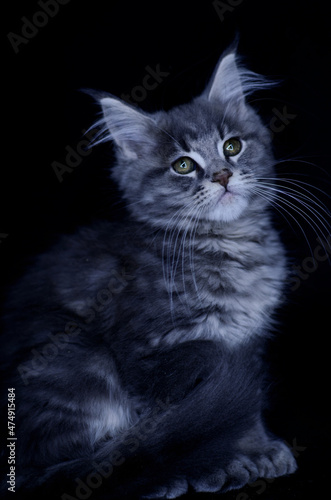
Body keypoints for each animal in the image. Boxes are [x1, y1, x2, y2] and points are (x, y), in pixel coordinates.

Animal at [0, 47, 300, 500]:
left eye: (232, 146)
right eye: (183, 165)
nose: (223, 175)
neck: (228, 245)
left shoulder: (246, 345)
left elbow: (244, 410)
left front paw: (260, 447)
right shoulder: (152, 355)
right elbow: (172, 423)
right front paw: (225, 463)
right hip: (79, 356)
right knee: (68, 464)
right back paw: (158, 476)